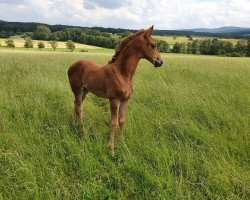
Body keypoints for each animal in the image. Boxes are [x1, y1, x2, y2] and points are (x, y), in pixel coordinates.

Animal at [67, 25, 163, 155]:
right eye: (153, 45)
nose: (160, 62)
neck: (123, 73)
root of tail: (71, 66)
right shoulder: (114, 100)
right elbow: (113, 123)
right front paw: (111, 150)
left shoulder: (125, 100)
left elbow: (121, 121)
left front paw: (122, 145)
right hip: (77, 89)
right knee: (79, 108)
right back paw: (83, 132)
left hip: (84, 91)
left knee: (76, 105)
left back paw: (75, 124)